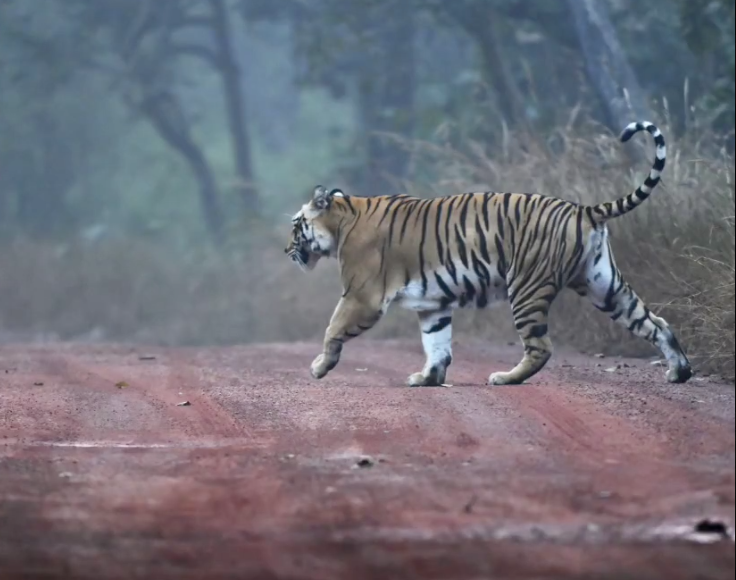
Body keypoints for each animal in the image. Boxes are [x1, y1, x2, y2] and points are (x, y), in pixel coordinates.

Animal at [284, 121, 693, 387]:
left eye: (295, 225)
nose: (286, 250)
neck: (343, 218)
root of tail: (583, 209)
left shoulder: (362, 296)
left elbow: (333, 328)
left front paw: (319, 367)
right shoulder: (432, 304)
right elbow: (437, 343)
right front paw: (428, 378)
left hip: (527, 287)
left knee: (541, 346)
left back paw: (505, 378)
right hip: (603, 285)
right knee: (656, 323)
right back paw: (679, 371)